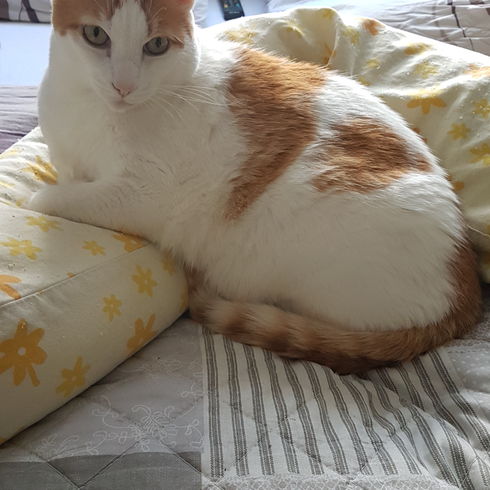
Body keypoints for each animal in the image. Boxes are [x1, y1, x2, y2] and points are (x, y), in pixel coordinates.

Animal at [29, 0, 481, 374]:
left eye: (156, 45)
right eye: (96, 35)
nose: (123, 85)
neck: (89, 111)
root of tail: (465, 295)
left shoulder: (142, 194)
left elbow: (55, 198)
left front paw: (41, 198)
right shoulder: (67, 157)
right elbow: (67, 177)